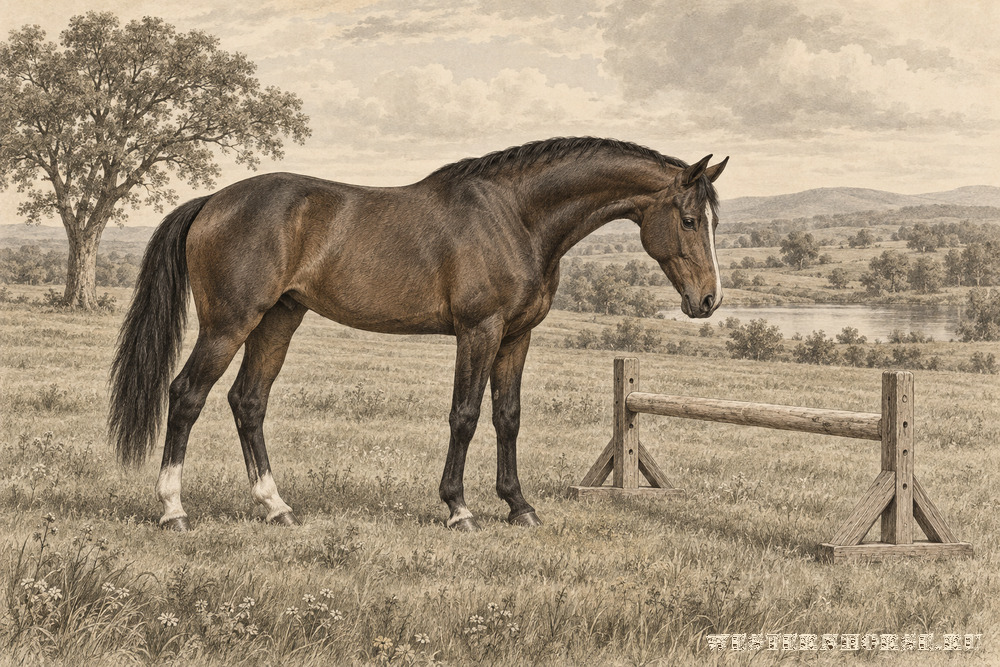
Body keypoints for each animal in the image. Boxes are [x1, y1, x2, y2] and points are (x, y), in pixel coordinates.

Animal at [108, 137, 728, 532]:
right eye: (690, 220)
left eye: (714, 222)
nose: (708, 301)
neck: (516, 216)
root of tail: (212, 201)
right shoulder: (478, 332)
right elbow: (465, 416)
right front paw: (459, 509)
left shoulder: (516, 337)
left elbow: (508, 417)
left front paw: (519, 507)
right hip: (229, 323)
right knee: (187, 395)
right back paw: (174, 510)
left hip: (278, 320)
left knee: (248, 402)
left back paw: (276, 507)